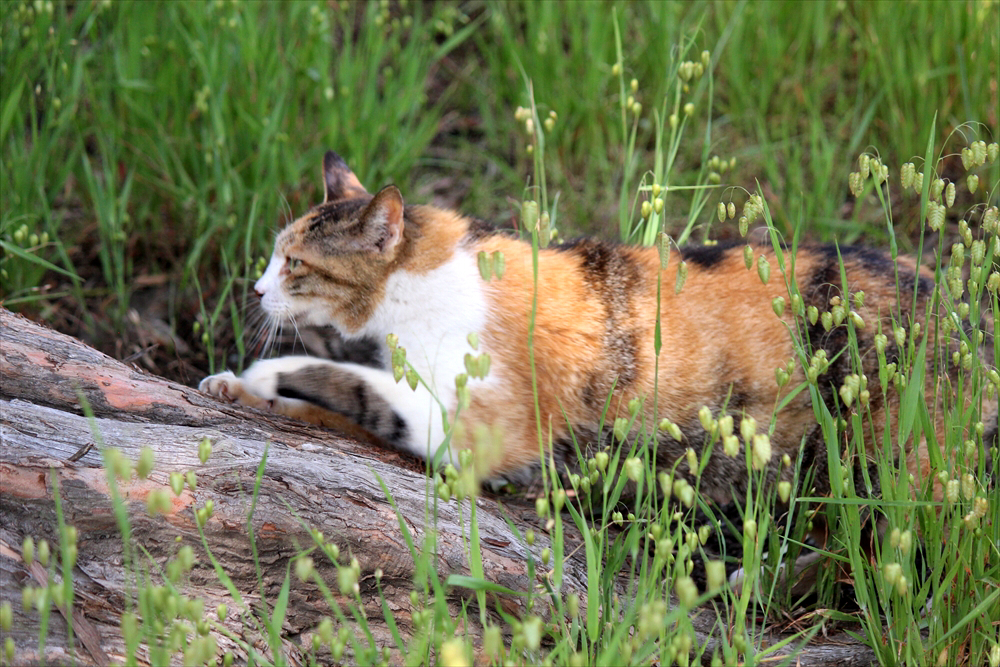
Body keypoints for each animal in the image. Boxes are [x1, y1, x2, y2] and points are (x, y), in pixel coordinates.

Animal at [199, 150, 996, 512]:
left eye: (294, 262)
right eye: (275, 255)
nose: (256, 288)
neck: (422, 287)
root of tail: (960, 308)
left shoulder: (476, 431)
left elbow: (351, 384)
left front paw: (263, 374)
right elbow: (337, 403)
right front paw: (236, 387)